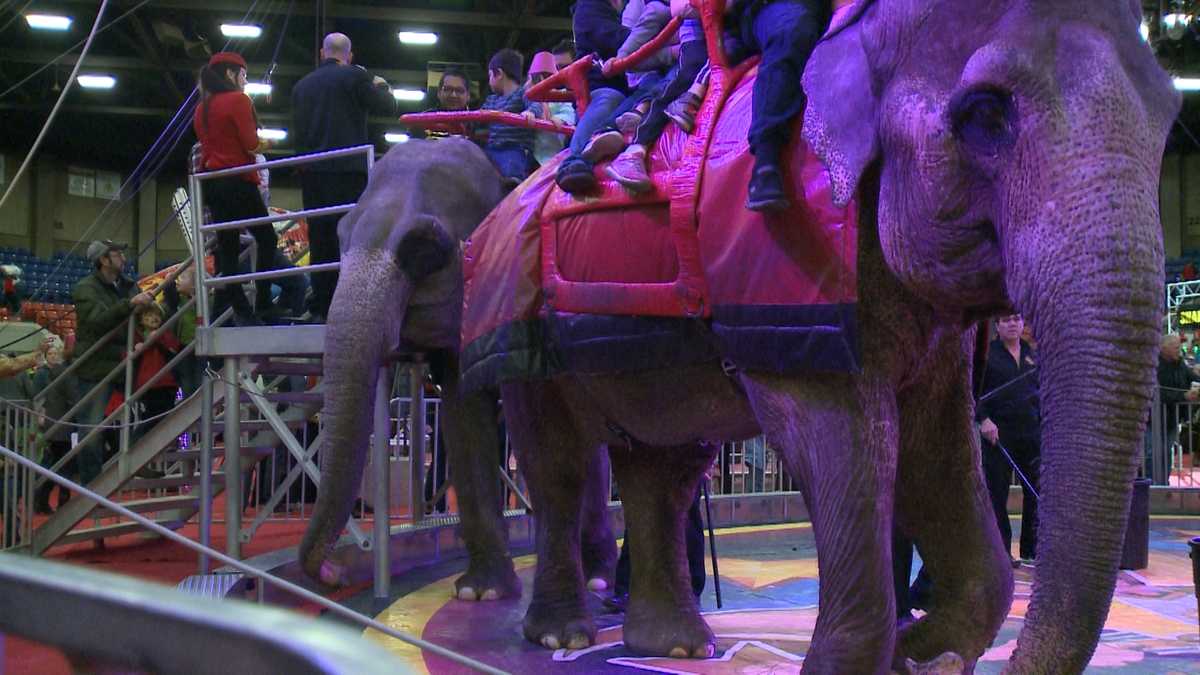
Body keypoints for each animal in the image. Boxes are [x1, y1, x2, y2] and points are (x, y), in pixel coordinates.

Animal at [292, 140, 619, 598]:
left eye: (426, 247)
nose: (333, 574)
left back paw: (599, 578)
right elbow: (463, 421)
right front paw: (481, 592)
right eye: (340, 235)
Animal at [470, 2, 1180, 667]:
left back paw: (675, 646)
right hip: (517, 317)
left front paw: (926, 652)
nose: (924, 656)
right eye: (985, 113)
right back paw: (564, 634)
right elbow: (852, 443)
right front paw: (899, 651)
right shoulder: (786, 262)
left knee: (664, 468)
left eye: (1170, 121)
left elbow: (935, 446)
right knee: (557, 466)